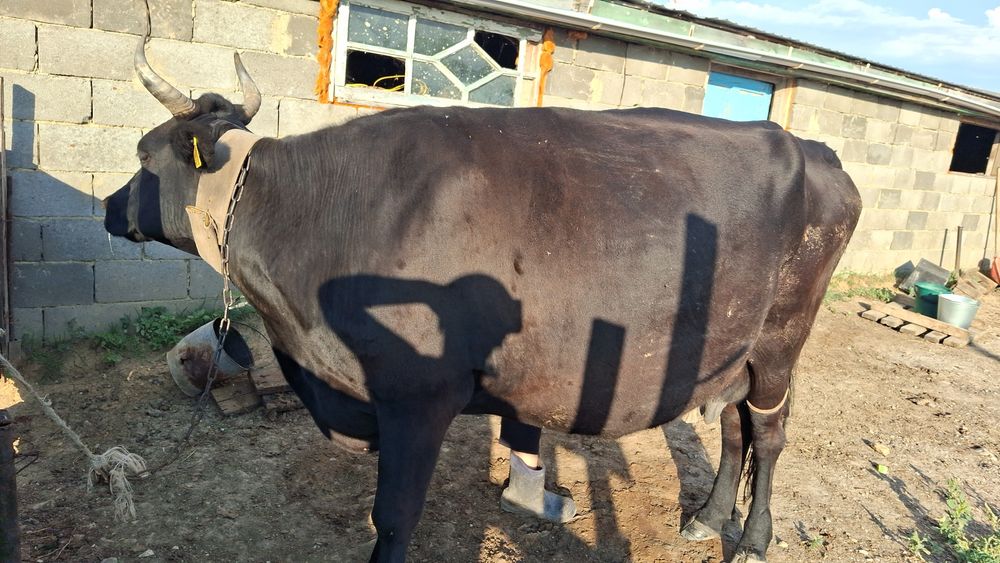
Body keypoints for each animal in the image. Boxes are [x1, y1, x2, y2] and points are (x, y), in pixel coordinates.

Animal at [104, 33, 861, 563]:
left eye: (143, 155)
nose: (109, 210)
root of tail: (814, 149)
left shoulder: (418, 393)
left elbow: (395, 517)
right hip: (730, 345)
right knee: (733, 425)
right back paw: (707, 518)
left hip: (782, 340)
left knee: (769, 433)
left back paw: (753, 539)